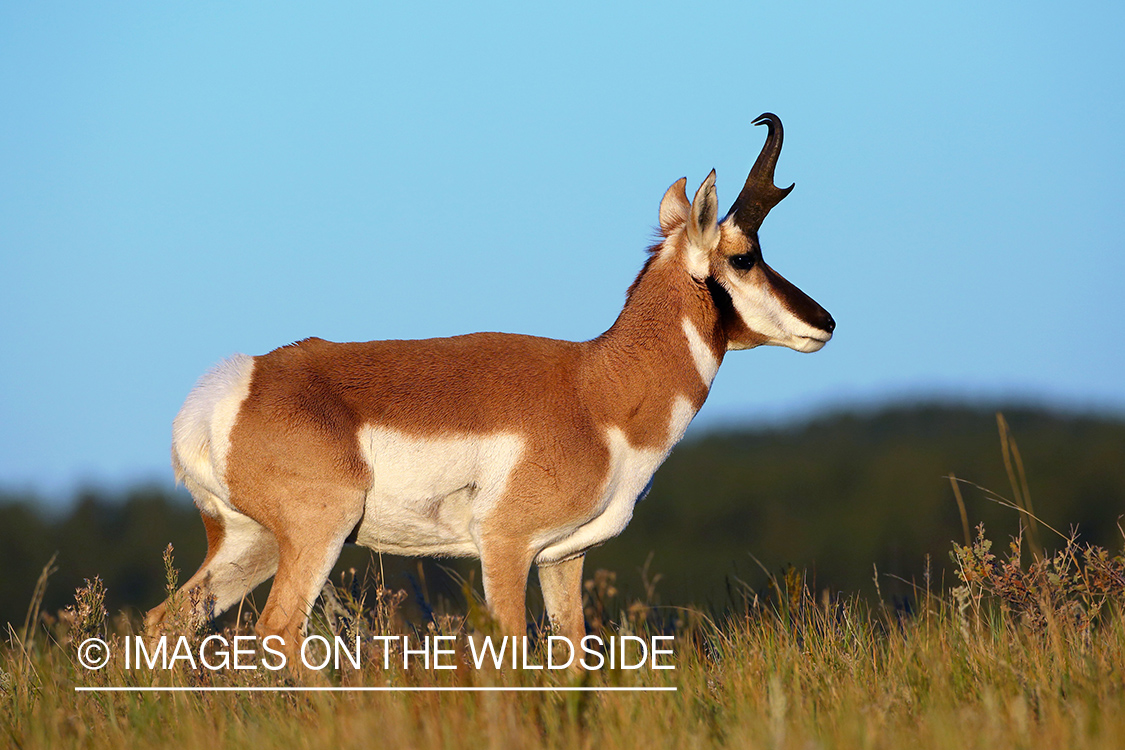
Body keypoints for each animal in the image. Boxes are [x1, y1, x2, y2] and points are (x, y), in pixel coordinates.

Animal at [147, 113, 837, 656]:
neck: (597, 390)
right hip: (319, 532)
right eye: (744, 257)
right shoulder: (506, 546)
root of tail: (235, 384)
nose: (825, 322)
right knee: (277, 631)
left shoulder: (562, 556)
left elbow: (572, 652)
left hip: (252, 545)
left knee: (165, 622)